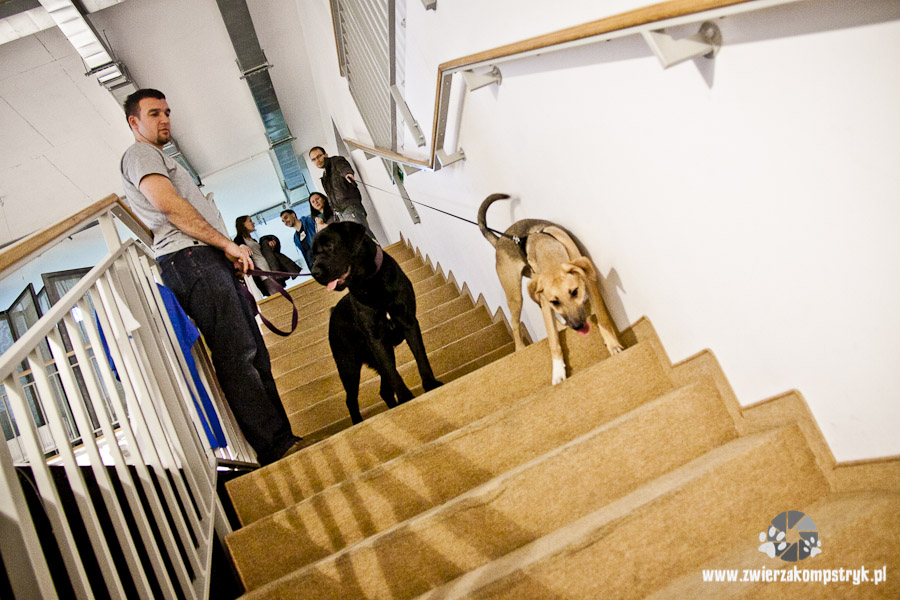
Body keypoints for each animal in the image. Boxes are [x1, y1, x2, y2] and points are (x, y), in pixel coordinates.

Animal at [311, 221, 442, 424]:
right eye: (313, 254)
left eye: (329, 245)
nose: (314, 272)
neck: (371, 282)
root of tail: (333, 313)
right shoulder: (377, 339)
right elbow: (393, 373)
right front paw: (406, 398)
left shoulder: (408, 322)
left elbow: (421, 357)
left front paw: (430, 384)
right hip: (348, 366)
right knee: (351, 399)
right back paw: (358, 422)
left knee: (383, 390)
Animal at [478, 193, 624, 384]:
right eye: (555, 301)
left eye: (575, 292)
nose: (577, 327)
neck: (548, 253)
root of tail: (500, 240)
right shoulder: (546, 303)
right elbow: (553, 341)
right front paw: (558, 371)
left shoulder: (590, 284)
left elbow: (603, 318)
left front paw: (613, 345)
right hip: (516, 296)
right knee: (514, 322)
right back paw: (520, 348)